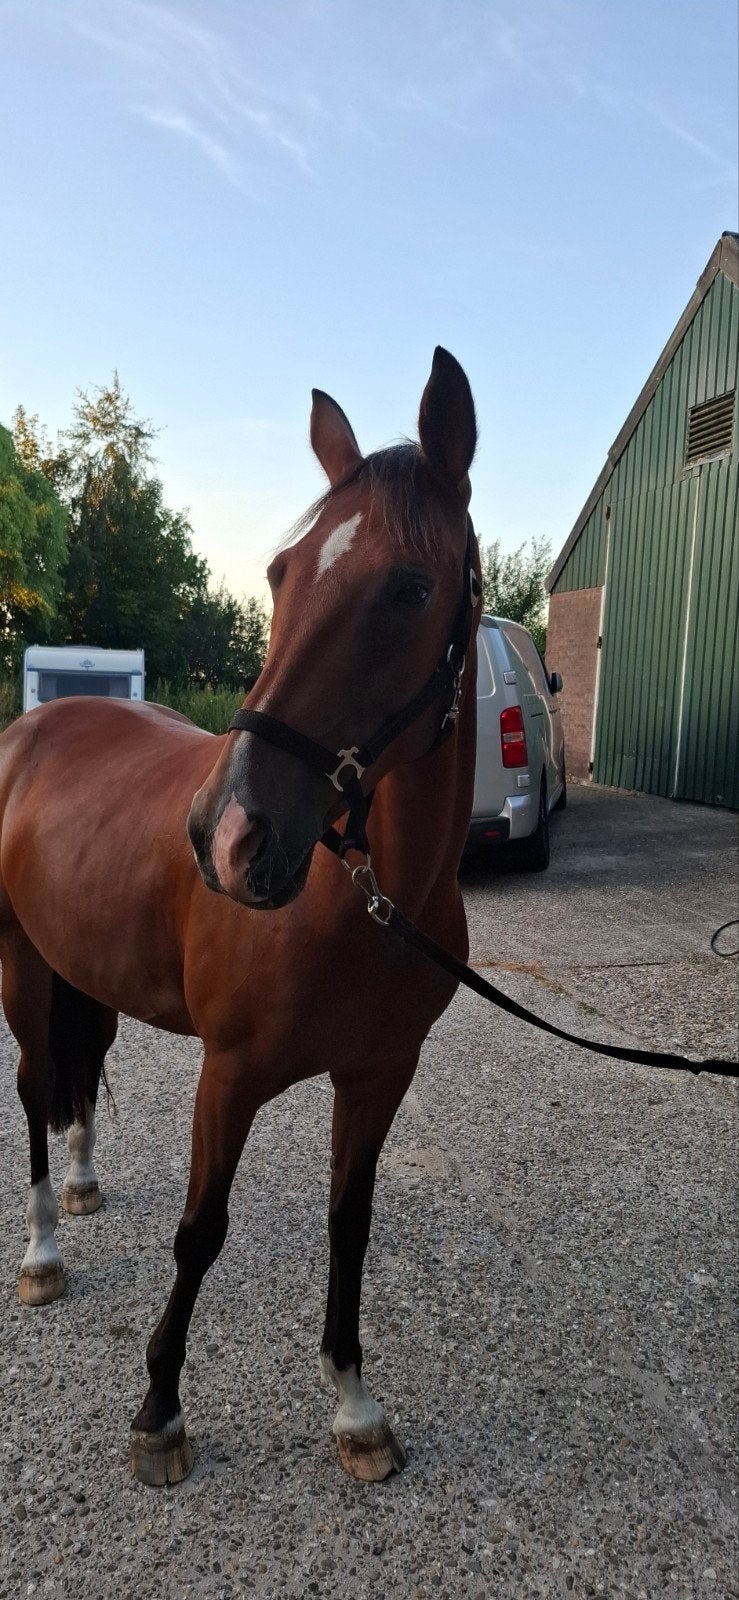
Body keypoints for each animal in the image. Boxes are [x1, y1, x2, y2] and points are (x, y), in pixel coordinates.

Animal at [0, 347, 480, 1487]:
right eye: (279, 574)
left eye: (409, 589)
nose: (224, 836)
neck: (365, 902)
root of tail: (34, 726)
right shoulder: (229, 1075)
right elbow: (199, 1230)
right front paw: (159, 1411)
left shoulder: (378, 1074)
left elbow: (349, 1224)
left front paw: (354, 1405)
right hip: (19, 964)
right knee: (36, 1086)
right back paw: (42, 1250)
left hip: (85, 967)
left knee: (80, 1072)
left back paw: (81, 1184)